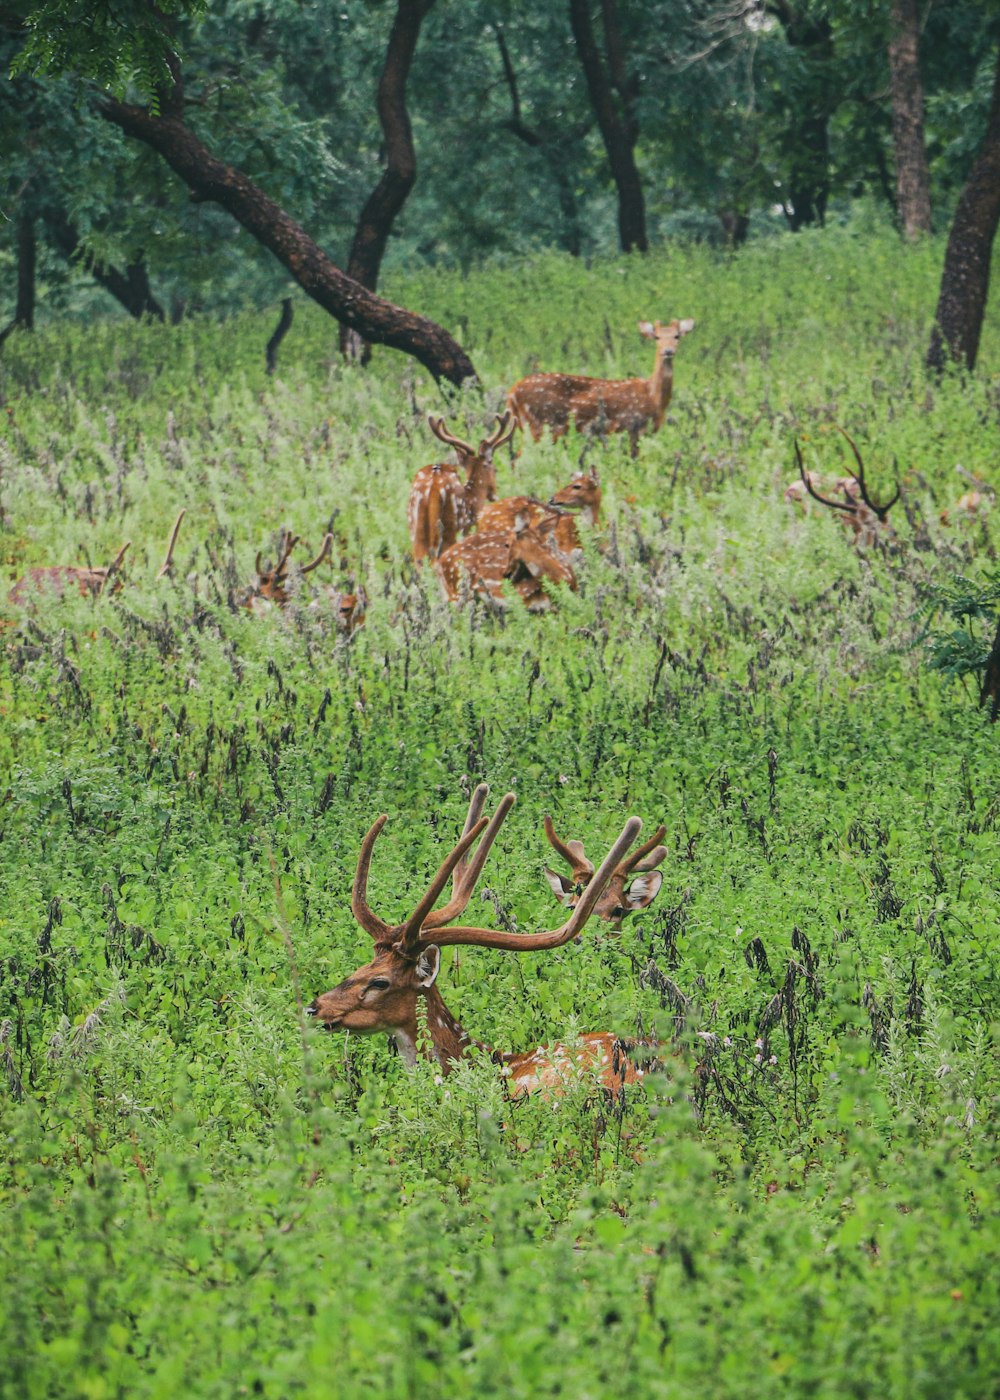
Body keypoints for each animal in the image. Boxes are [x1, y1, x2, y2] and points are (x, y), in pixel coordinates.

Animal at [406, 411, 515, 560]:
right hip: (449, 527)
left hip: (415, 529)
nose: (494, 495)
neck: (472, 499)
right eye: (495, 469)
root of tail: (432, 487)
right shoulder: (467, 527)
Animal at [507, 316, 694, 453]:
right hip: (539, 423)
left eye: (677, 336)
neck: (653, 397)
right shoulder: (633, 426)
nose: (668, 351)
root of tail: (512, 392)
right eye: (657, 337)